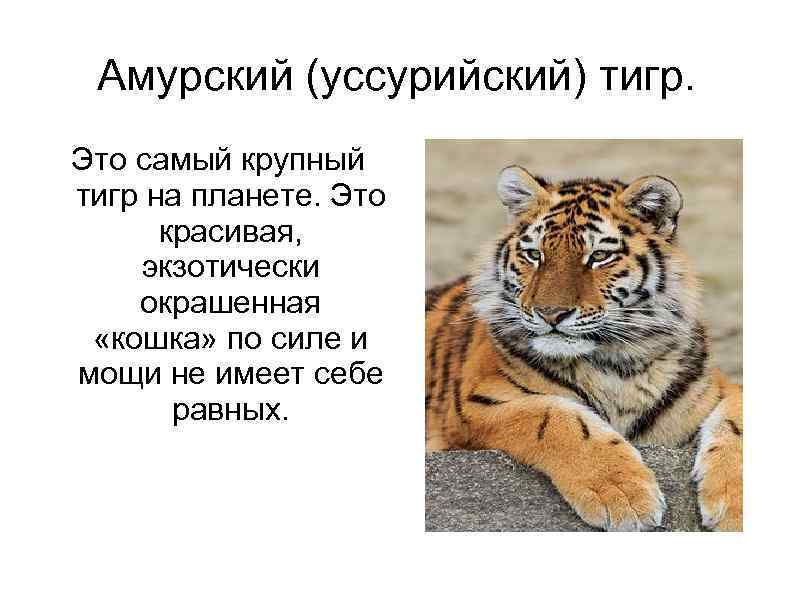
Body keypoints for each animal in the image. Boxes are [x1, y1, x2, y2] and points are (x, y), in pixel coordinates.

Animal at [425, 165, 742, 531]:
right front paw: (623, 495)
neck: (620, 360)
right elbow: (553, 417)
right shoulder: (475, 403)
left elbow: (738, 422)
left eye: (599, 256)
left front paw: (736, 508)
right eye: (534, 254)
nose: (550, 313)